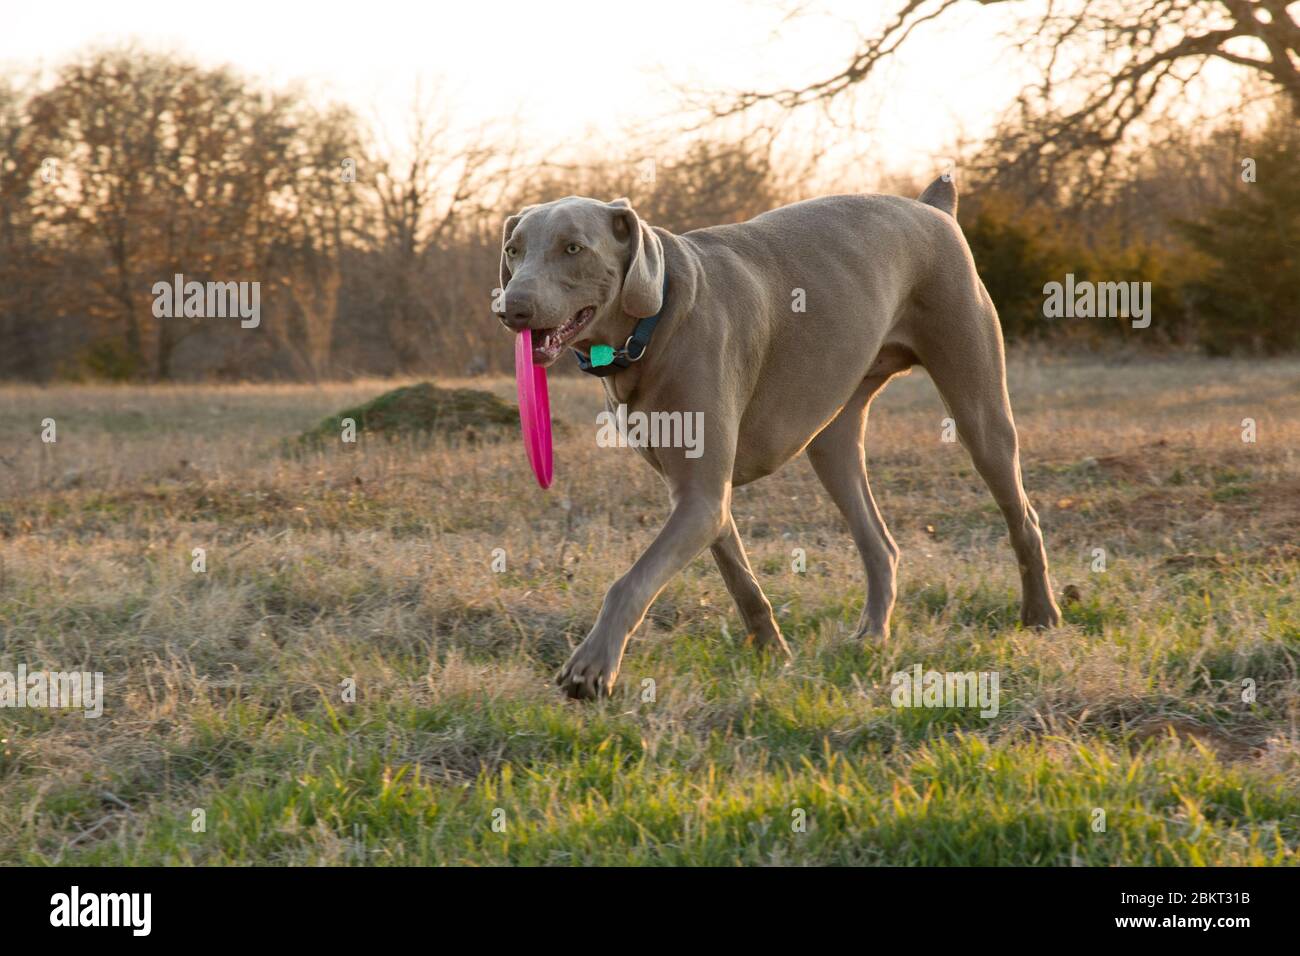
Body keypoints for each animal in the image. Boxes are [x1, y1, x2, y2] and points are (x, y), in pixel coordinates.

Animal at [493, 178, 1055, 702]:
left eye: (574, 248)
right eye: (513, 250)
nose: (510, 309)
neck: (651, 328)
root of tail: (935, 208)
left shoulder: (701, 497)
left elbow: (630, 581)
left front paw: (591, 668)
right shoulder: (701, 495)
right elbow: (737, 573)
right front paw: (771, 649)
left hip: (977, 403)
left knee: (1022, 514)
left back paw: (1041, 615)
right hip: (833, 440)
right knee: (880, 542)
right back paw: (872, 636)